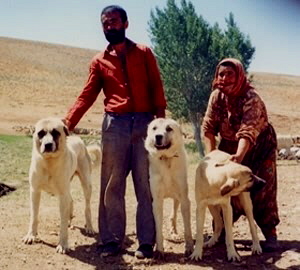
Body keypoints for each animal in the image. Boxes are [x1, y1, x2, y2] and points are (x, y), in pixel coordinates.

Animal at [22, 117, 94, 254]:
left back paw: (90, 227)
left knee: (87, 207)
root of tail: (77, 138)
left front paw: (63, 244)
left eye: (56, 133)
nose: (48, 145)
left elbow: (62, 222)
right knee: (71, 200)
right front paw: (31, 236)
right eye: (41, 133)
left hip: (86, 184)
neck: (49, 162)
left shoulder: (62, 194)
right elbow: (34, 216)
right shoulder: (35, 191)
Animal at [145, 118, 195, 258]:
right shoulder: (156, 201)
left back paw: (174, 234)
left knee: (173, 214)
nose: (158, 137)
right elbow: (158, 228)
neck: (166, 159)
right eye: (154, 128)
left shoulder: (184, 199)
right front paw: (159, 250)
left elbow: (188, 229)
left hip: (177, 197)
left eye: (169, 129)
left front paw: (189, 248)